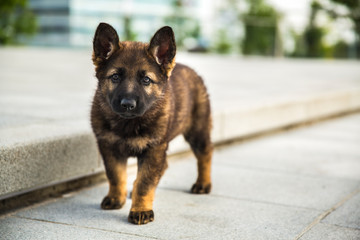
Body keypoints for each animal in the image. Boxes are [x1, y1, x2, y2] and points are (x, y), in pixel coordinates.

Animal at [91, 23, 212, 224]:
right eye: (115, 77)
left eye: (146, 80)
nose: (128, 104)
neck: (128, 123)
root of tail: (190, 69)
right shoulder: (109, 147)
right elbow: (116, 176)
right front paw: (116, 198)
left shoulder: (153, 149)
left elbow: (145, 183)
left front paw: (141, 210)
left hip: (197, 131)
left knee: (205, 154)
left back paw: (203, 183)